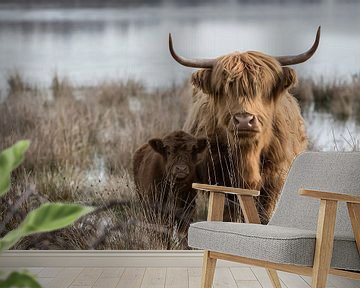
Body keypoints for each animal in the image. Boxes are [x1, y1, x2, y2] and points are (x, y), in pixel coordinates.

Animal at [169, 27, 320, 223]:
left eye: (263, 87)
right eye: (225, 88)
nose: (244, 120)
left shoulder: (274, 180)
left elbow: (264, 215)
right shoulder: (219, 178)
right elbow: (229, 214)